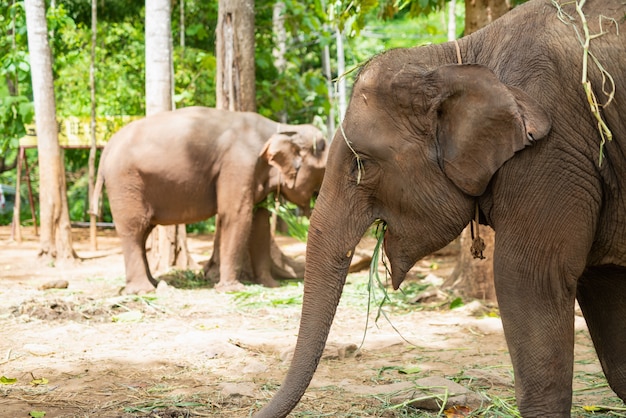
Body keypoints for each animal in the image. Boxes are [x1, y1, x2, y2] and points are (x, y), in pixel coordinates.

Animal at [94, 107, 326, 294]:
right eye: (324, 170)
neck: (282, 129)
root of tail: (107, 148)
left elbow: (259, 220)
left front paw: (270, 285)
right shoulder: (238, 163)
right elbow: (236, 215)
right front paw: (232, 290)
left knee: (144, 231)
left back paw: (154, 283)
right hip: (125, 181)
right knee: (134, 228)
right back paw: (143, 291)